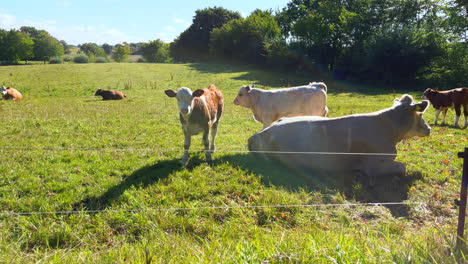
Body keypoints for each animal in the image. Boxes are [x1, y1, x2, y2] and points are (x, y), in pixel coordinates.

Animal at [249, 95, 432, 184]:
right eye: (421, 114)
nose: (429, 128)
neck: (389, 128)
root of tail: (260, 133)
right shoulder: (373, 166)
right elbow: (402, 167)